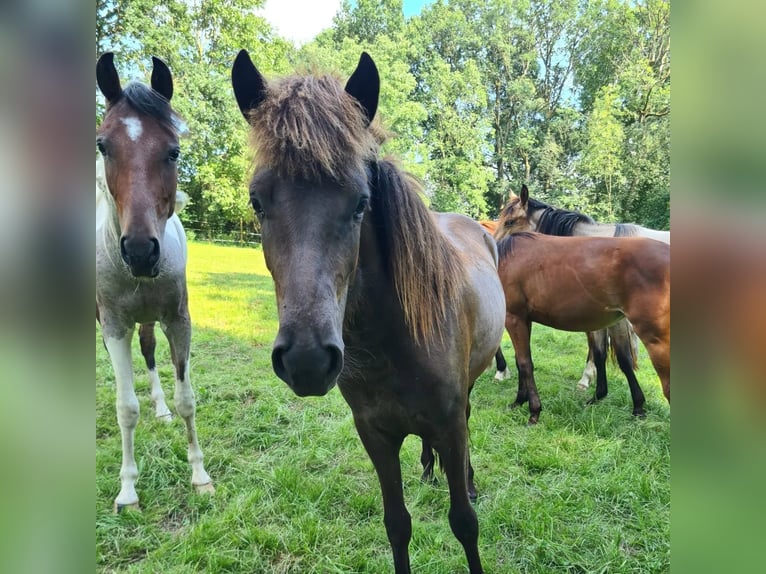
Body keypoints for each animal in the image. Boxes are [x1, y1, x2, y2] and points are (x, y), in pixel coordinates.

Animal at [98, 53, 216, 512]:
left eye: (173, 151)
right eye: (103, 145)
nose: (140, 251)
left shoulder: (177, 319)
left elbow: (187, 399)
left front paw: (199, 475)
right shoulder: (114, 326)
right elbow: (125, 407)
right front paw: (128, 489)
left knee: (148, 353)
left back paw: (160, 407)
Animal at [231, 50, 508, 574]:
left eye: (361, 202)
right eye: (257, 201)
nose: (307, 360)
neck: (393, 342)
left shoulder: (450, 425)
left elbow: (465, 524)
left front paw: (465, 493)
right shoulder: (375, 435)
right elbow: (397, 525)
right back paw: (427, 468)